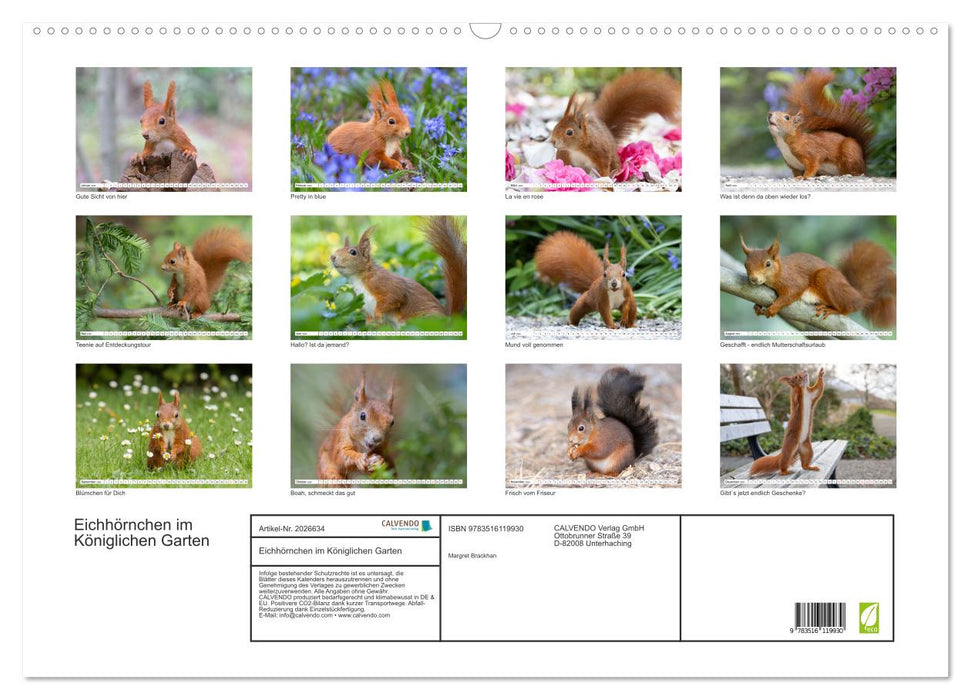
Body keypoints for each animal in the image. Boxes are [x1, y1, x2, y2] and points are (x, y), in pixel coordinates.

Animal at [330, 216, 467, 325]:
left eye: (353, 252)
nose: (332, 257)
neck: (359, 278)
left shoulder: (384, 282)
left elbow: (394, 296)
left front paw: (378, 312)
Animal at [550, 69, 681, 177]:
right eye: (556, 126)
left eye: (569, 132)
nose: (553, 141)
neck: (577, 148)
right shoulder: (565, 155)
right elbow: (564, 165)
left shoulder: (600, 152)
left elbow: (604, 166)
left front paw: (605, 177)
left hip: (613, 157)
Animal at [740, 235, 896, 328]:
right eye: (745, 264)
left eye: (768, 264)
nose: (753, 279)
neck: (780, 271)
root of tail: (859, 297)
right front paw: (757, 306)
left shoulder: (793, 280)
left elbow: (792, 293)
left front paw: (774, 307)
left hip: (826, 279)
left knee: (848, 309)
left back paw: (832, 309)